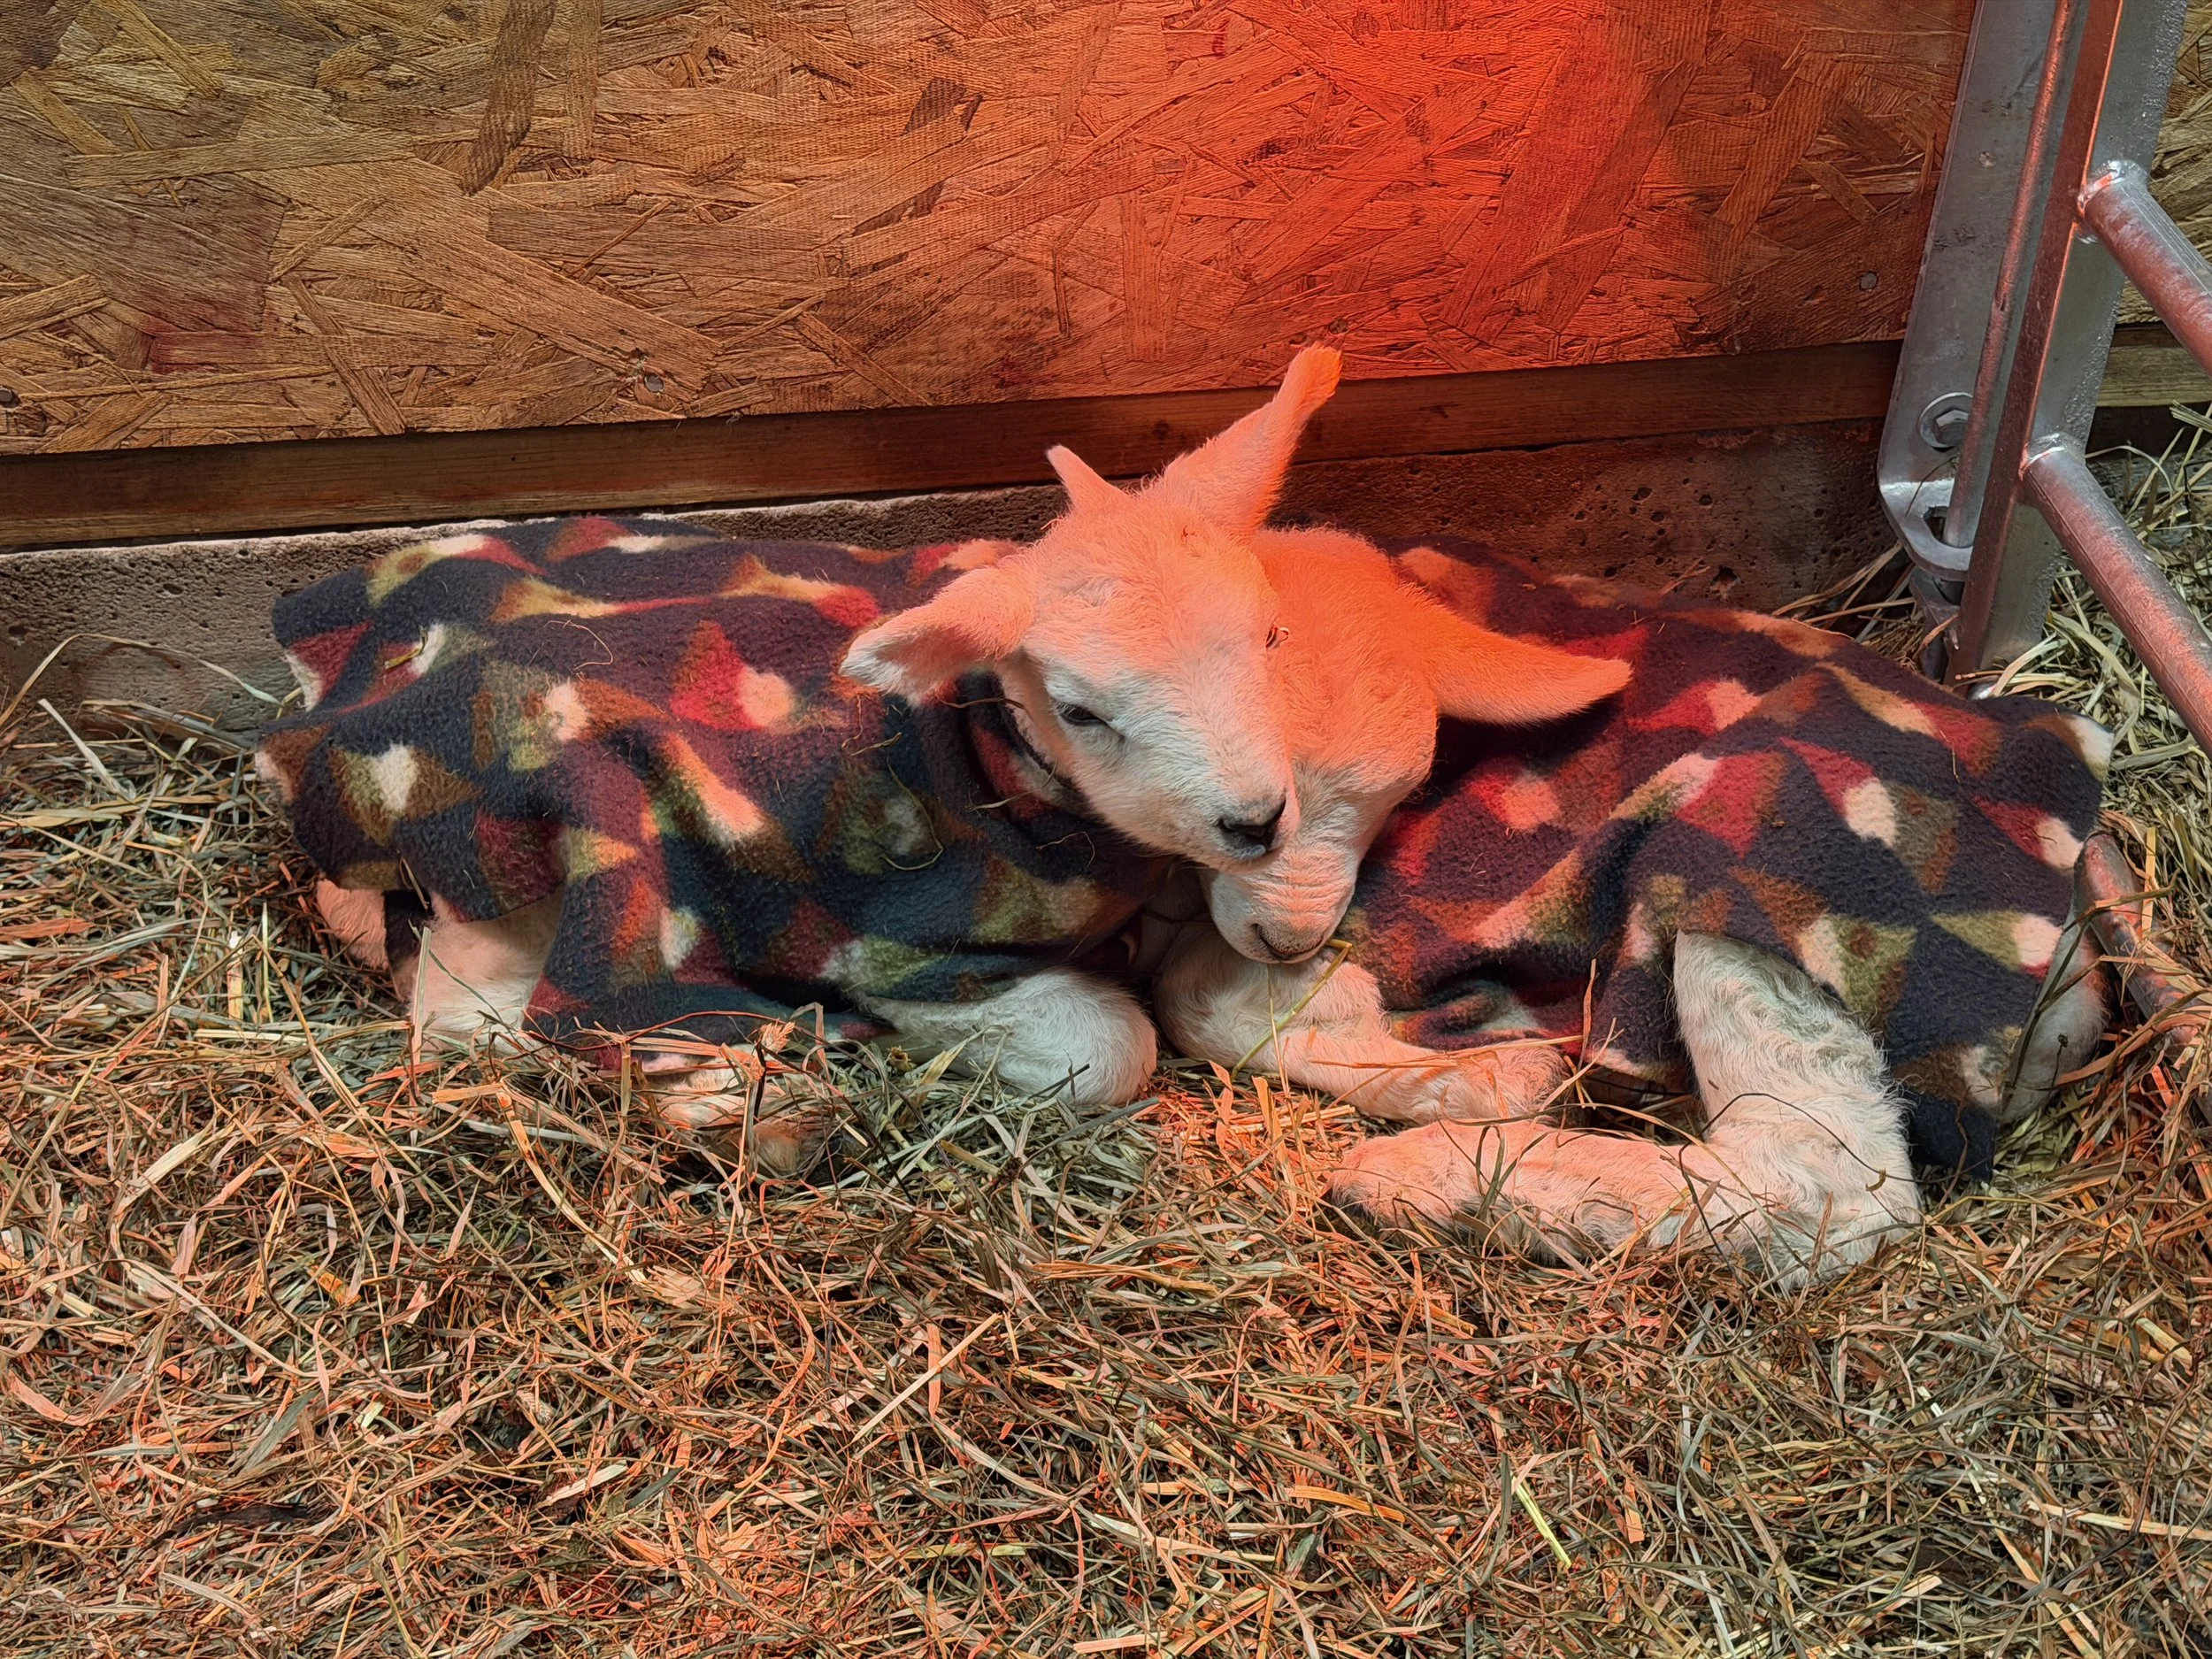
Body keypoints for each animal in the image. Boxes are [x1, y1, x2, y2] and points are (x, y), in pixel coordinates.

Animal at [1157, 535, 2111, 1287]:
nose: (1293, 935)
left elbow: (1194, 998)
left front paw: (1489, 1078)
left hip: (1757, 872)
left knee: (1823, 1185)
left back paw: (1430, 1176)